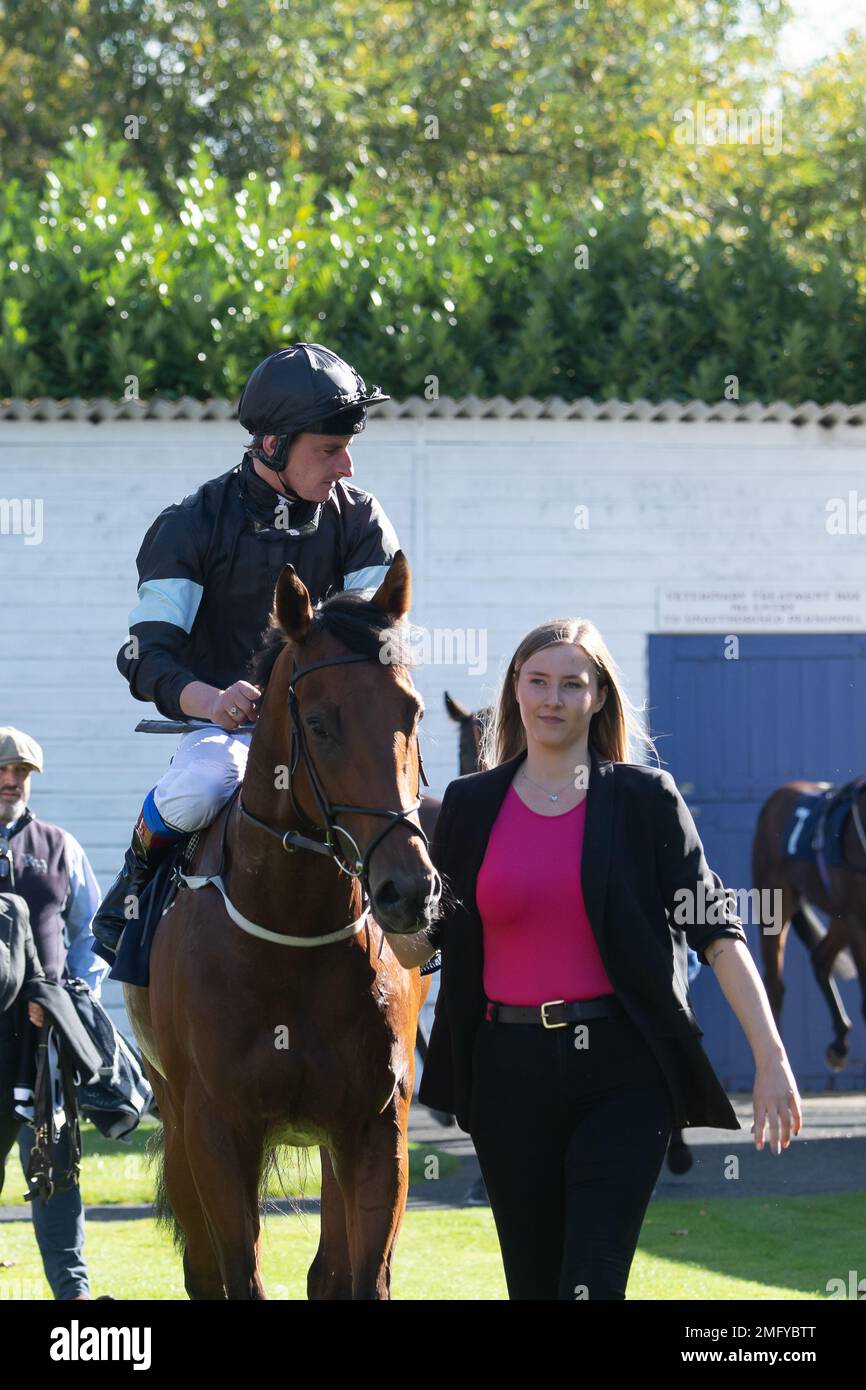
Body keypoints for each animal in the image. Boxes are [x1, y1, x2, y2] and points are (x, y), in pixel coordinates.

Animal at [125, 556, 444, 1301]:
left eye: (412, 712)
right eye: (321, 724)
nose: (409, 891)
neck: (293, 936)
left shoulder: (374, 1127)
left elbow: (362, 1277)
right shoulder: (216, 1128)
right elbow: (236, 1275)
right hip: (174, 1115)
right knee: (202, 1269)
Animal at [750, 778, 866, 1067]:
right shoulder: (859, 924)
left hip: (839, 917)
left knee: (821, 959)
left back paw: (839, 1044)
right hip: (775, 903)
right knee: (773, 986)